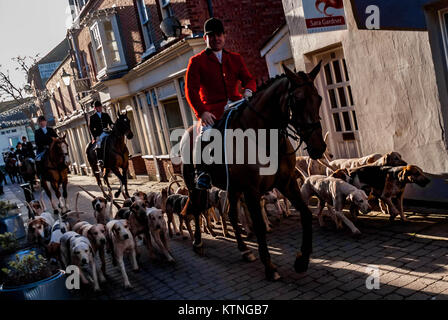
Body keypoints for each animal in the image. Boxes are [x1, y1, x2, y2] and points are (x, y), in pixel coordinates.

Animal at [181, 62, 326, 280]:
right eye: (298, 101)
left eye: (319, 99)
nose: (319, 147)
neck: (264, 137)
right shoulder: (252, 191)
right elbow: (258, 226)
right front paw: (270, 267)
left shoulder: (287, 182)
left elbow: (306, 214)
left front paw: (301, 260)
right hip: (194, 185)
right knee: (197, 209)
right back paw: (198, 242)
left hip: (232, 188)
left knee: (231, 214)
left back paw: (244, 250)